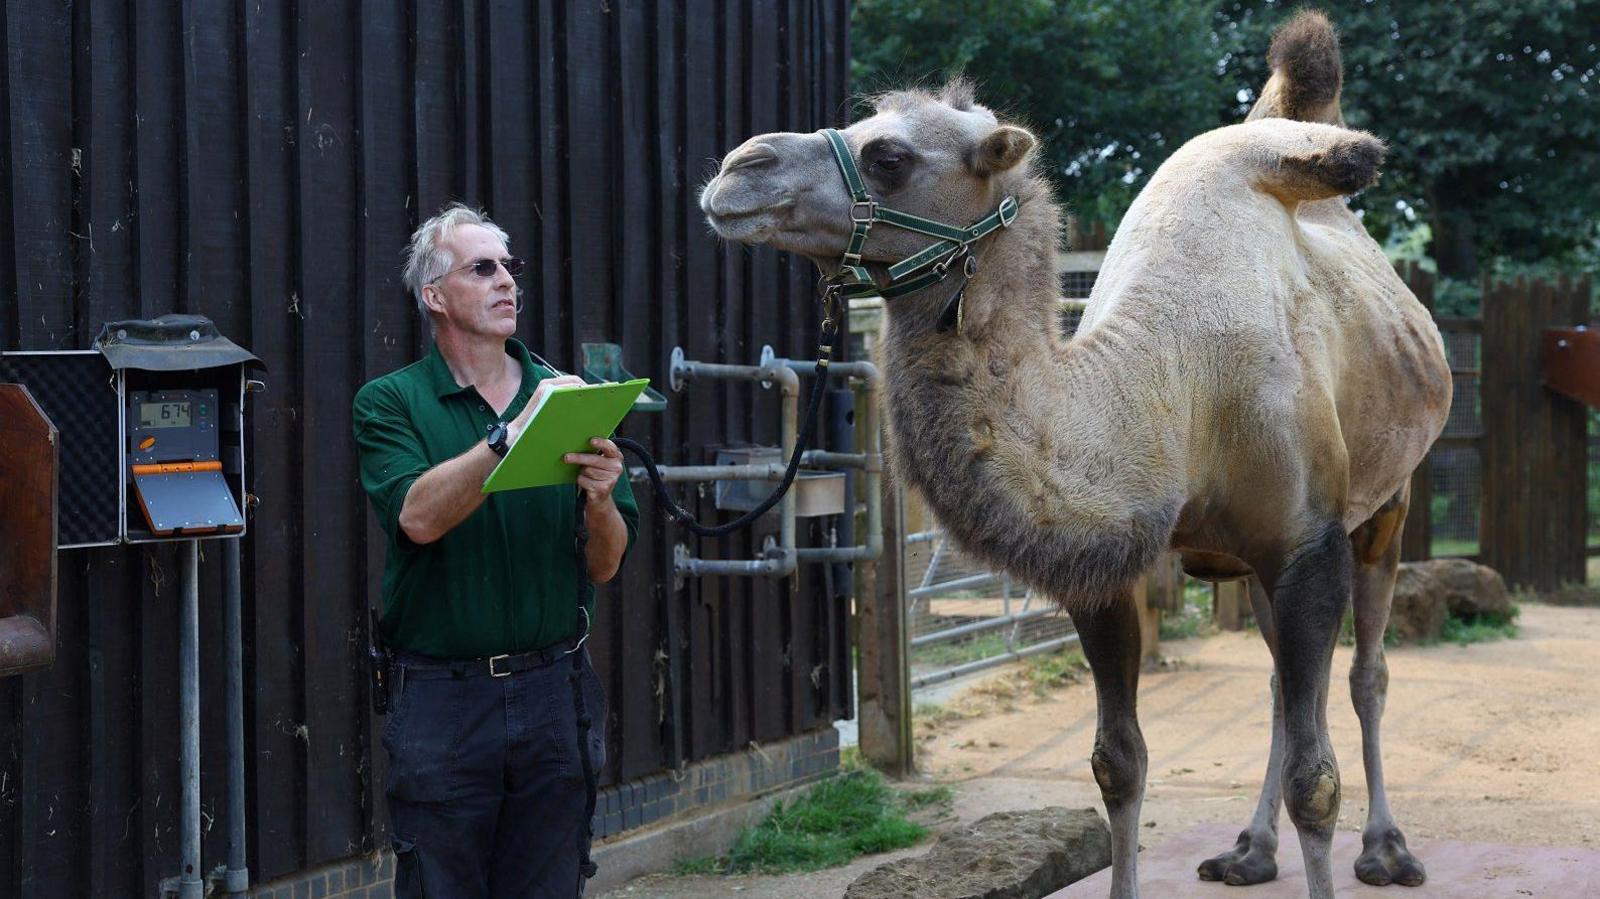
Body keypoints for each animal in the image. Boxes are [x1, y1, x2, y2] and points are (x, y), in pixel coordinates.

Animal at [700, 12, 1452, 895]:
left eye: (890, 157)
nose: (736, 168)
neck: (1176, 387)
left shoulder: (1307, 544)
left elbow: (1317, 779)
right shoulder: (1108, 567)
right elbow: (1117, 763)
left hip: (1385, 507)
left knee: (1369, 673)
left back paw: (1387, 849)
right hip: (1250, 561)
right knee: (1275, 680)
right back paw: (1249, 849)